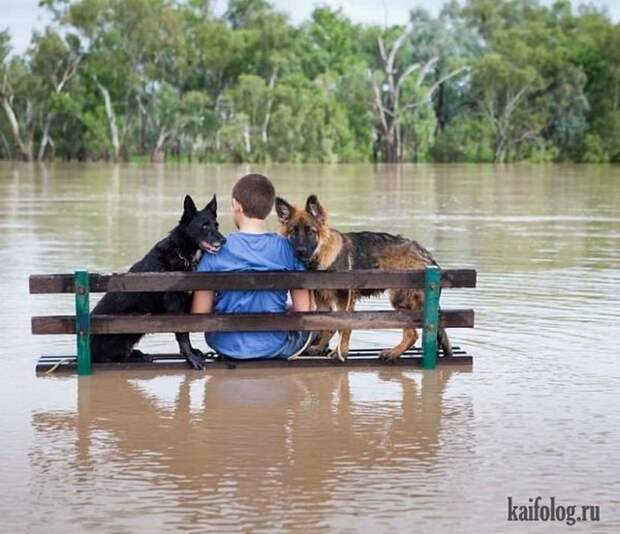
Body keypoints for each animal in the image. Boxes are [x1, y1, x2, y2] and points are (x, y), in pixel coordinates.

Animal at [91, 195, 226, 370]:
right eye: (204, 226)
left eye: (216, 225)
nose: (224, 240)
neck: (183, 254)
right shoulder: (176, 305)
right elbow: (182, 334)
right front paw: (190, 357)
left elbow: (187, 328)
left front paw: (192, 353)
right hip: (133, 320)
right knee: (112, 358)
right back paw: (136, 358)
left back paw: (139, 355)